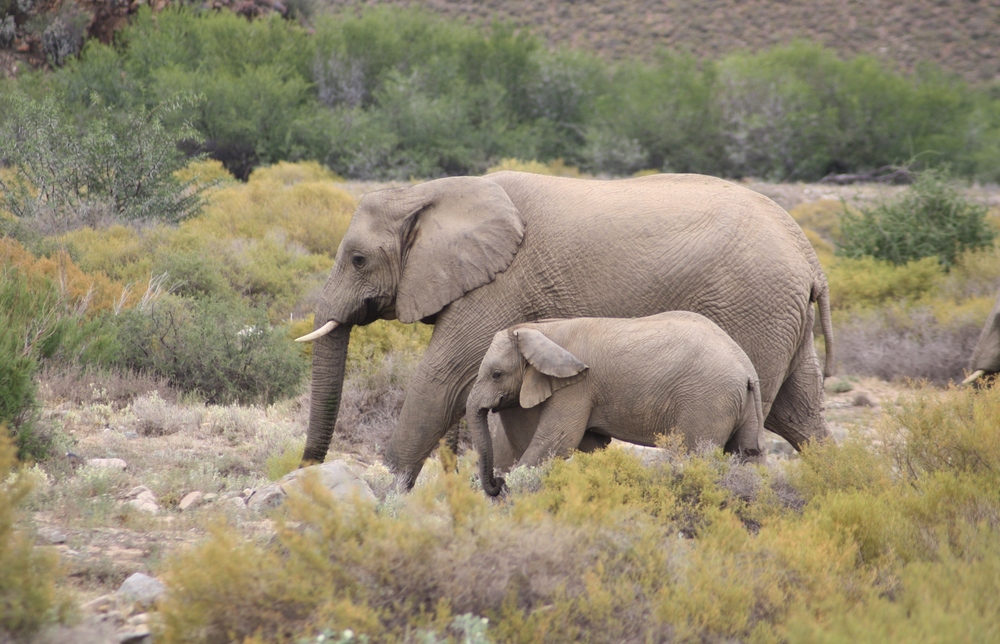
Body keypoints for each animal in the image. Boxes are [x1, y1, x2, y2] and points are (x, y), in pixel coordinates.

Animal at [468, 312, 764, 498]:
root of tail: (747, 369)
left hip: (708, 400)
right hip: (744, 405)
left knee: (694, 457)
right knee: (749, 457)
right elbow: (592, 445)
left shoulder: (577, 386)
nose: (496, 482)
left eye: (496, 375)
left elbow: (557, 440)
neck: (541, 330)